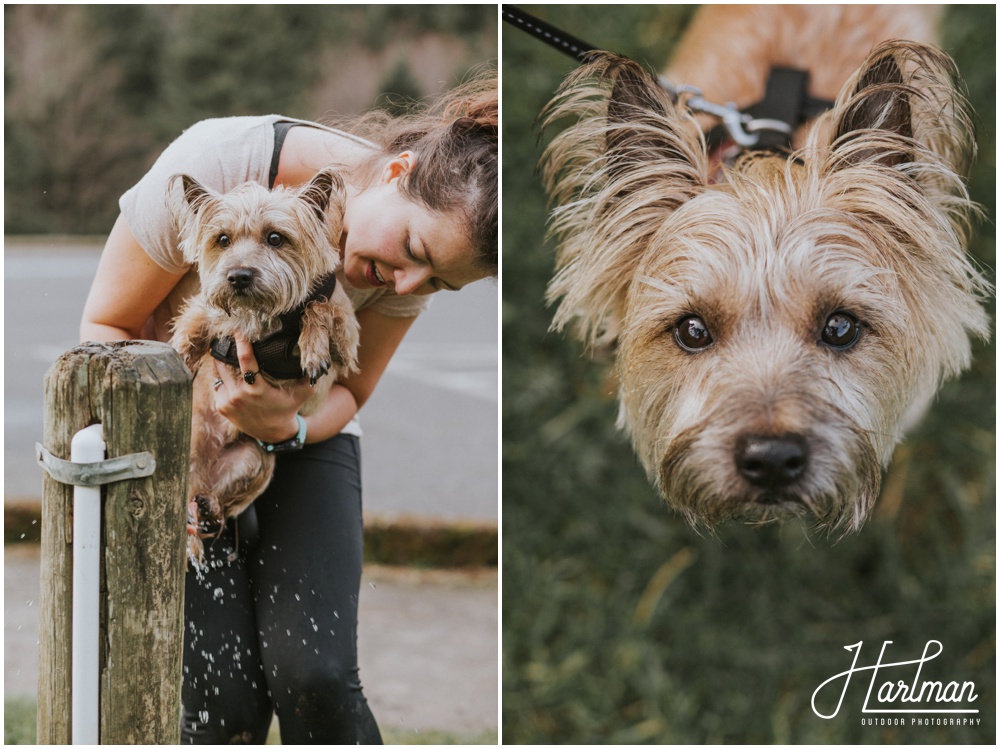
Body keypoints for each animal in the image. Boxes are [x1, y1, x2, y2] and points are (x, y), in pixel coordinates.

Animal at [168, 168, 360, 560]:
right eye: (222, 240)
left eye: (275, 238)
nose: (238, 276)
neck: (263, 318)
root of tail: (204, 474)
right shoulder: (206, 310)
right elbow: (190, 328)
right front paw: (175, 354)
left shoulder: (346, 338)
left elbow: (319, 307)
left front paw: (312, 344)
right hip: (189, 452)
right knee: (187, 505)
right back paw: (192, 538)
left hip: (257, 461)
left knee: (217, 502)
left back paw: (209, 507)